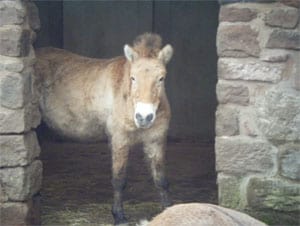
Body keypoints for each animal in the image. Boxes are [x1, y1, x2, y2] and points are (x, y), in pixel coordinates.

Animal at [34, 33, 173, 224]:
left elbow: (161, 179)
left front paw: (168, 209)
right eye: (133, 78)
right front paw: (119, 217)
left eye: (161, 78)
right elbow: (119, 179)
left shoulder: (155, 140)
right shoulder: (120, 140)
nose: (144, 117)